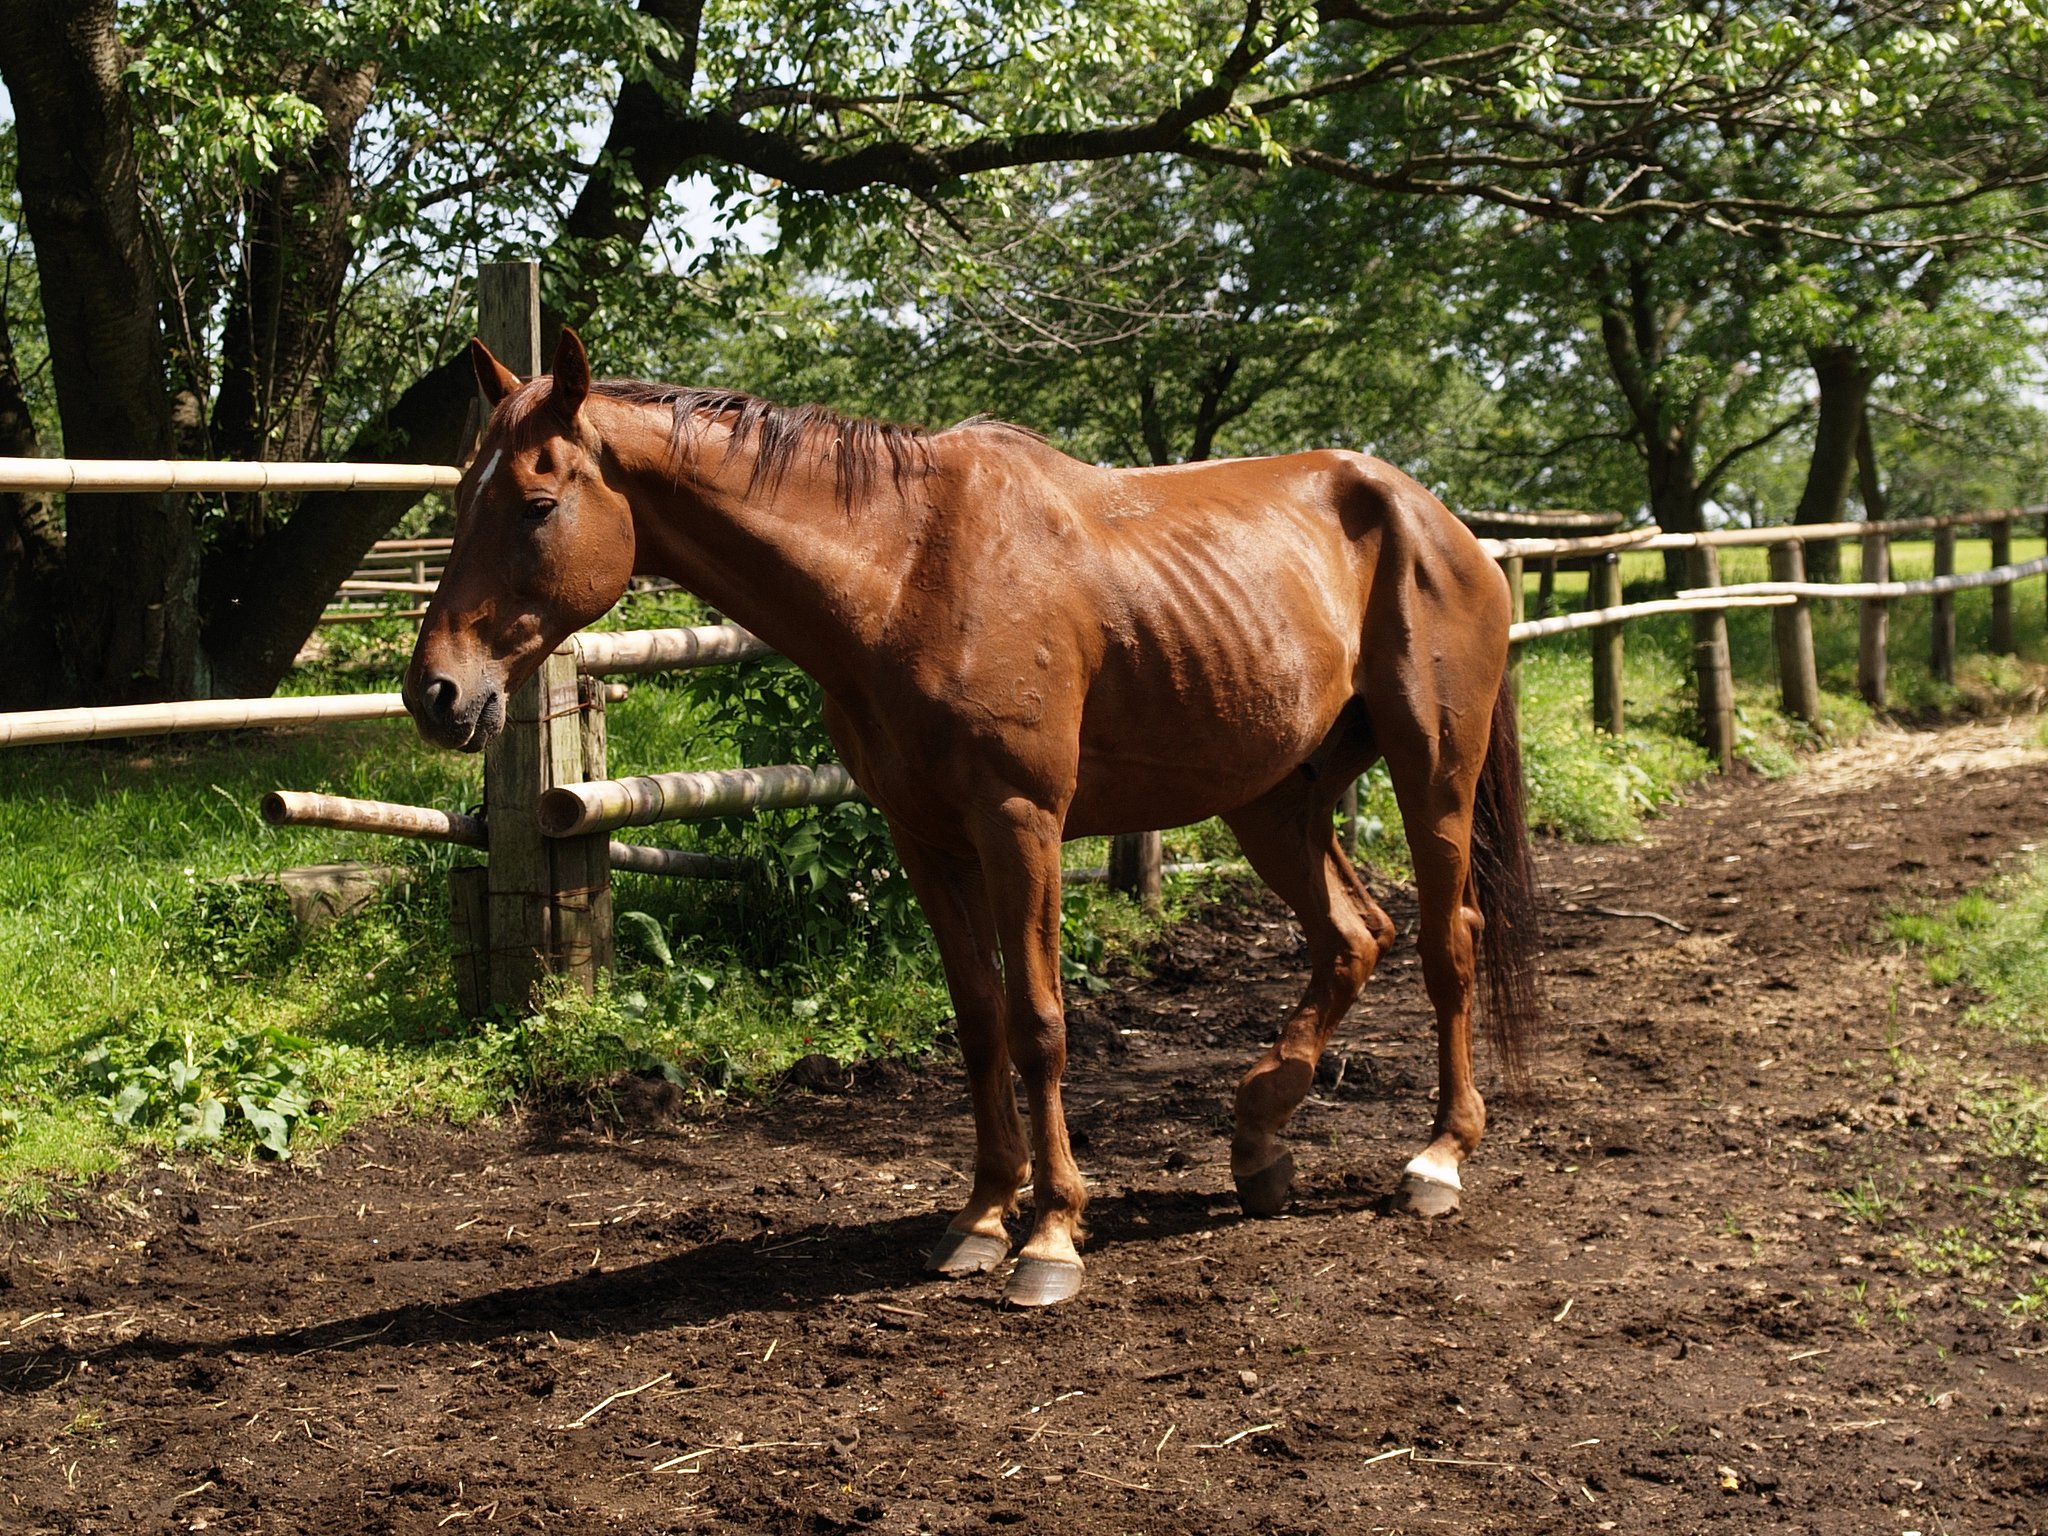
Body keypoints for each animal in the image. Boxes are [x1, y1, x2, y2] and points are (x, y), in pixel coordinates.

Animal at [404, 328, 1541, 1308]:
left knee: (1446, 941)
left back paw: (1437, 1159)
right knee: (1355, 935)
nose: (436, 694)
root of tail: (1439, 524)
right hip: (1272, 799)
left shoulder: (1018, 825)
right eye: (462, 497)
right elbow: (979, 1021)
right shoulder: (926, 838)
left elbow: (1039, 1025)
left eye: (537, 503)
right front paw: (983, 1219)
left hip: (1431, 773)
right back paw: (1260, 1138)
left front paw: (1052, 1237)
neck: (906, 569)